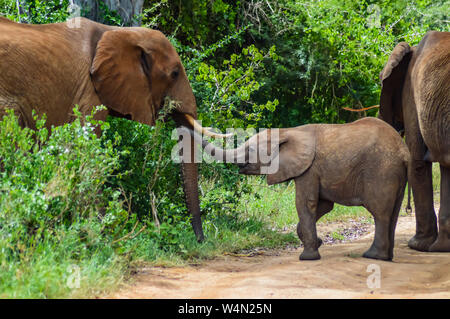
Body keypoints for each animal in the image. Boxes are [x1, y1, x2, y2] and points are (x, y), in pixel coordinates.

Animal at [0, 16, 221, 242]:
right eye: (175, 73)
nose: (201, 240)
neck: (116, 32)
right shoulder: (88, 93)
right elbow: (86, 150)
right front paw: (101, 232)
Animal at [195, 117, 410, 262]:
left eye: (251, 150)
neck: (287, 132)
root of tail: (405, 152)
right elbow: (324, 206)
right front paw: (318, 243)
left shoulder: (309, 169)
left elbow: (305, 203)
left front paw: (307, 257)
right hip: (395, 173)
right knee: (393, 213)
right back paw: (386, 257)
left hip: (381, 170)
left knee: (380, 213)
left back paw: (373, 257)